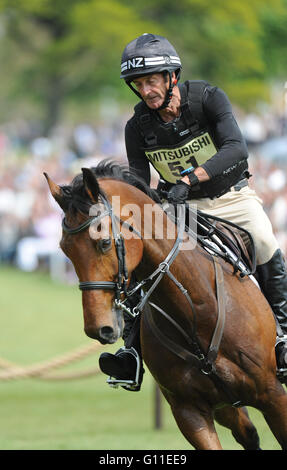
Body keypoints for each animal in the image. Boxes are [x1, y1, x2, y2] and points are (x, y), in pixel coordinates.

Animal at [44, 162, 287, 452]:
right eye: (65, 249)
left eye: (103, 243)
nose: (98, 328)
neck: (196, 311)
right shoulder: (189, 411)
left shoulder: (274, 397)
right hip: (228, 405)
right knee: (248, 434)